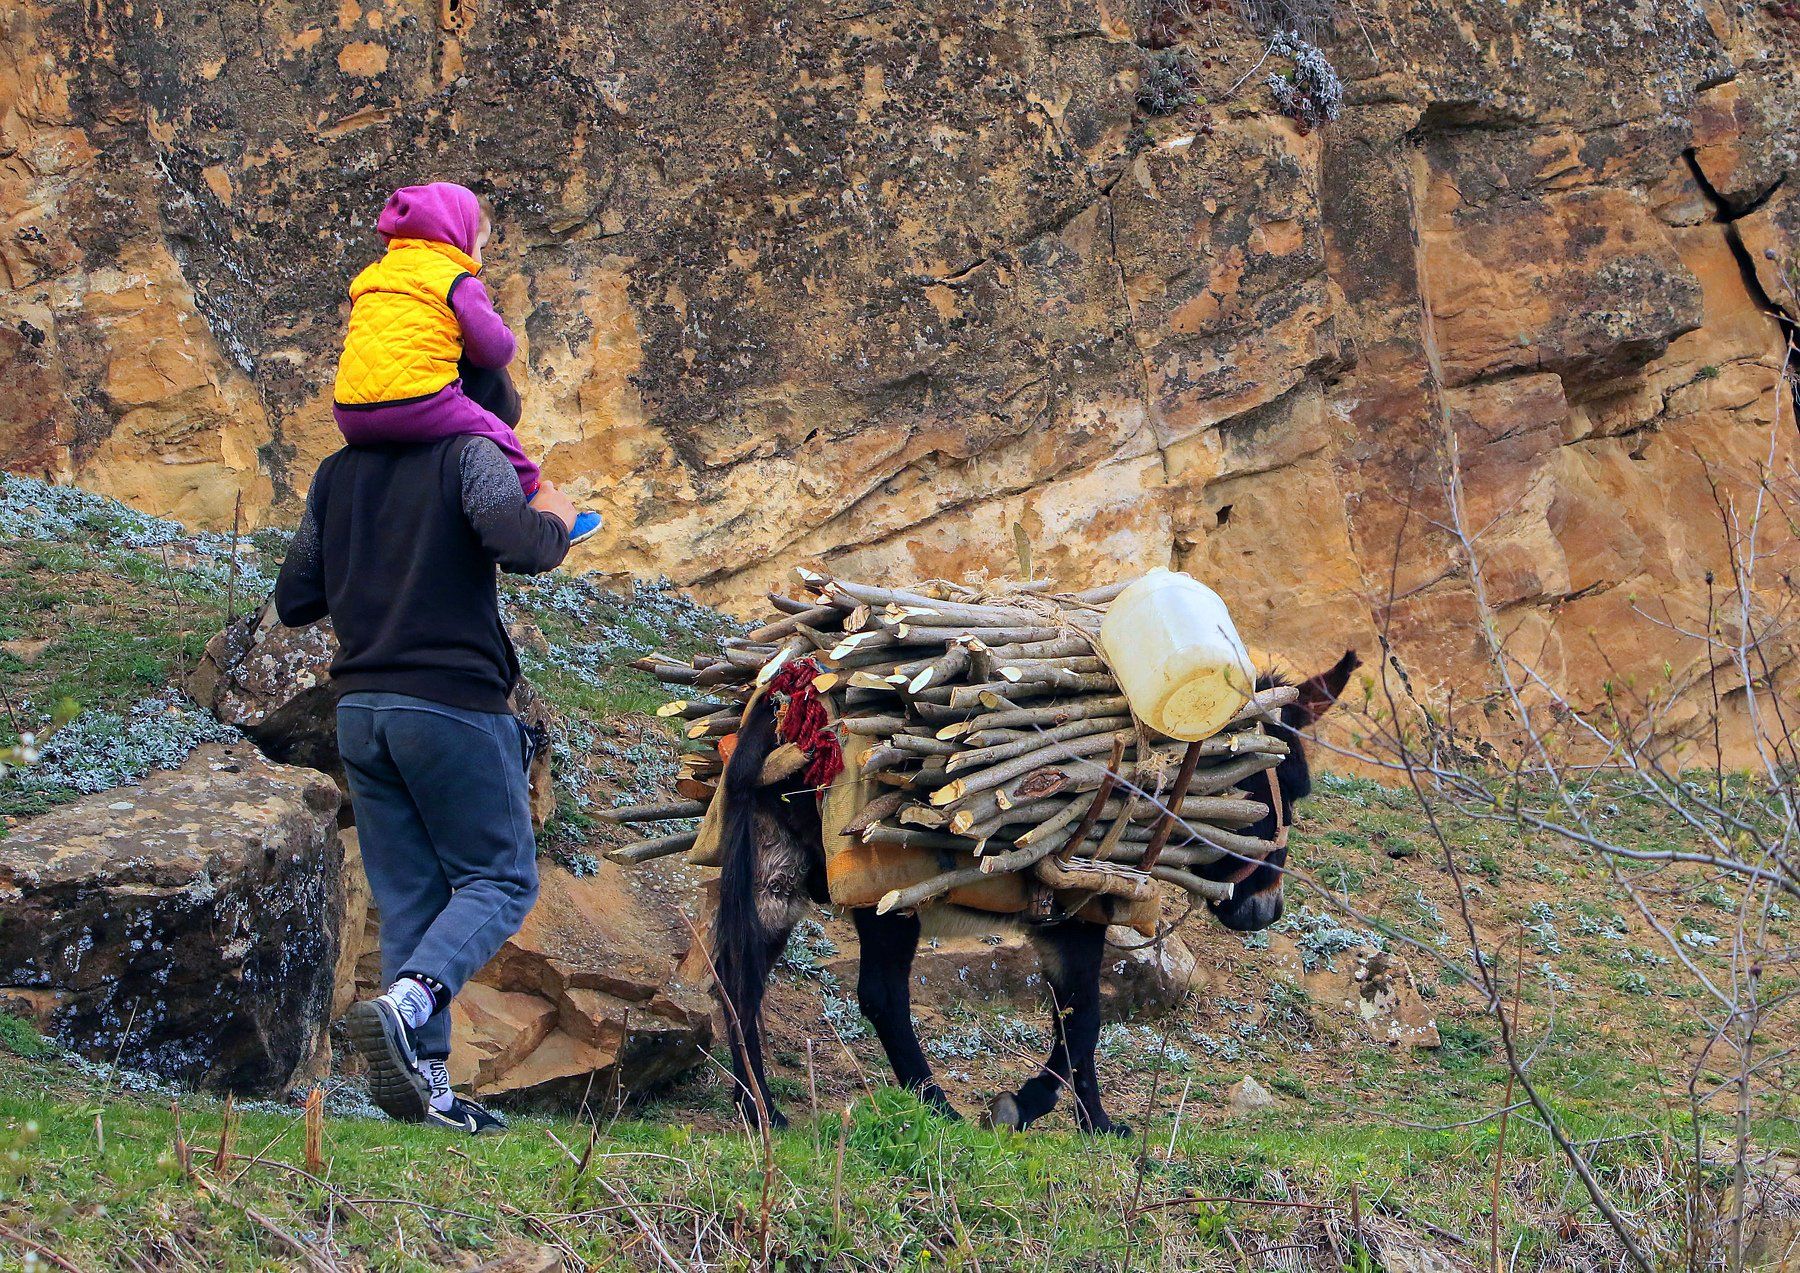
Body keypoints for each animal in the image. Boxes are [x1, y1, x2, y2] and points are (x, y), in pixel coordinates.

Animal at [707, 650, 1360, 1135]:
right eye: (1280, 794)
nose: (1265, 912)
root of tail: (791, 694)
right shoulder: (1078, 916)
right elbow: (1085, 1021)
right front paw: (1034, 1109)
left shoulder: (1062, 925)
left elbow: (1075, 1021)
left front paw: (1090, 1122)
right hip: (884, 886)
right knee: (877, 995)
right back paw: (918, 1108)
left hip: (776, 866)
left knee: (738, 978)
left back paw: (758, 1109)